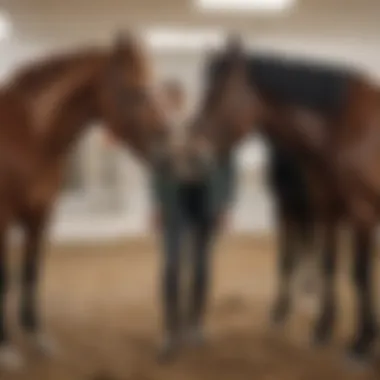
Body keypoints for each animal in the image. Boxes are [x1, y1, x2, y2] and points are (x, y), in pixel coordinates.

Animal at [0, 32, 167, 368]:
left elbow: (31, 272)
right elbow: (4, 278)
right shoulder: (3, 217)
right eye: (134, 90)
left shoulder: (40, 215)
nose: (169, 140)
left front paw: (37, 337)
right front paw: (6, 348)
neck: (29, 136)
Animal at [197, 36, 378, 366]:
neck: (347, 128)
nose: (192, 147)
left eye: (216, 94)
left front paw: (361, 342)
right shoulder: (324, 210)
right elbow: (324, 263)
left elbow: (360, 274)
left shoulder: (362, 214)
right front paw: (322, 327)